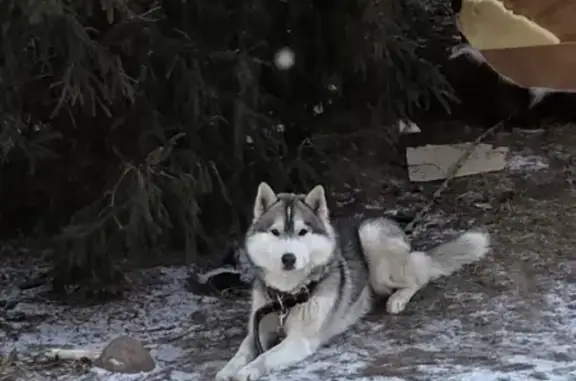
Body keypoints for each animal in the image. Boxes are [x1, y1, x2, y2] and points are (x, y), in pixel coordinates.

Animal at [216, 183, 490, 378]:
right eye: (275, 232)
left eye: (303, 232)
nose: (288, 258)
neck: (287, 295)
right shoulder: (258, 328)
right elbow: (242, 352)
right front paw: (227, 370)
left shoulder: (300, 340)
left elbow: (264, 357)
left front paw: (247, 371)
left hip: (373, 242)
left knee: (417, 276)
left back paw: (398, 299)